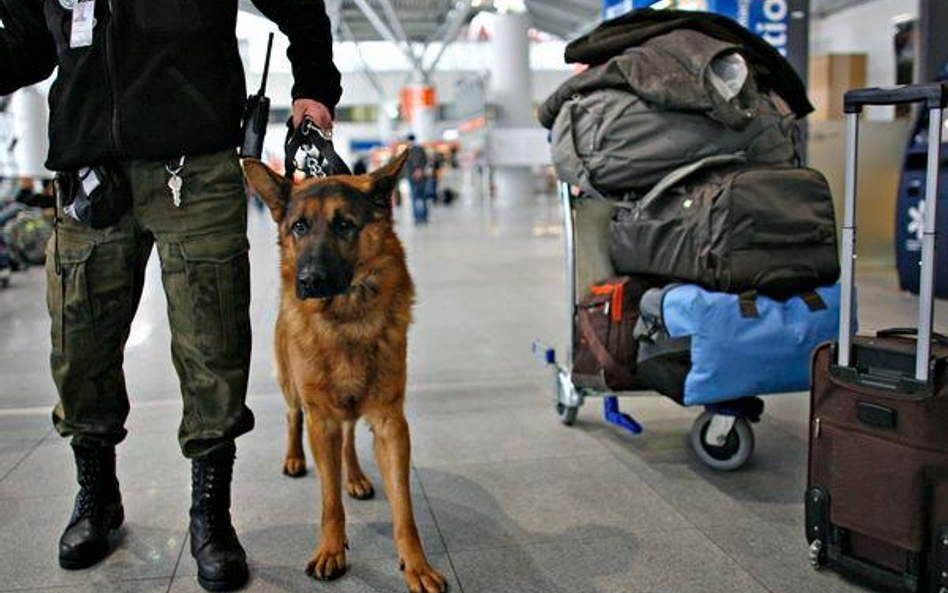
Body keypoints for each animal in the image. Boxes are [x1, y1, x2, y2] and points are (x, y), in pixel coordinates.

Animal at [244, 153, 452, 592]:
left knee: (350, 437)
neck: (346, 321)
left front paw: (416, 564)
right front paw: (330, 550)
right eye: (299, 226)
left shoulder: (391, 424)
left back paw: (354, 475)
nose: (309, 282)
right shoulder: (321, 420)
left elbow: (404, 509)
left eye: (344, 225)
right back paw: (294, 457)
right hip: (293, 390)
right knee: (293, 416)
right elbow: (329, 501)